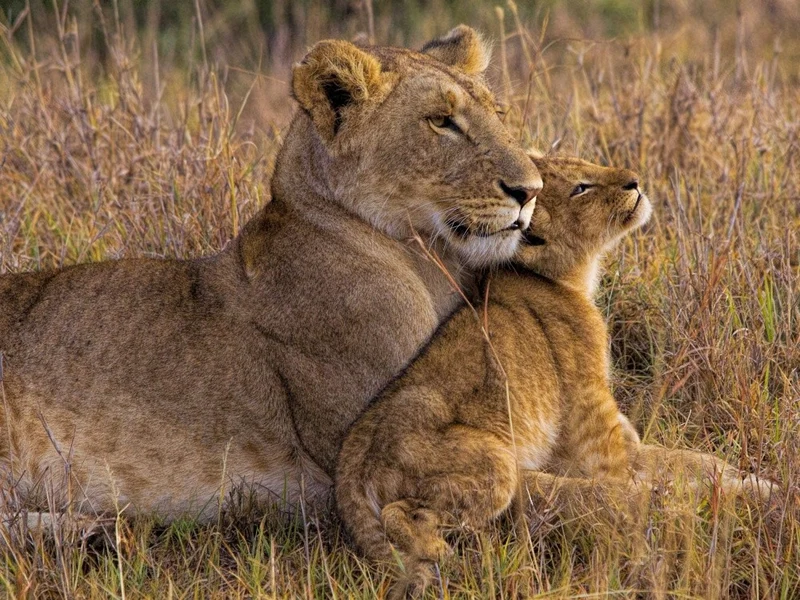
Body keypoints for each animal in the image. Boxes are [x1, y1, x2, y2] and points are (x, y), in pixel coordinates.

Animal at [0, 25, 541, 522]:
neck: (429, 262)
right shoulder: (375, 457)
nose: (531, 190)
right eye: (441, 122)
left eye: (498, 114)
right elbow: (538, 485)